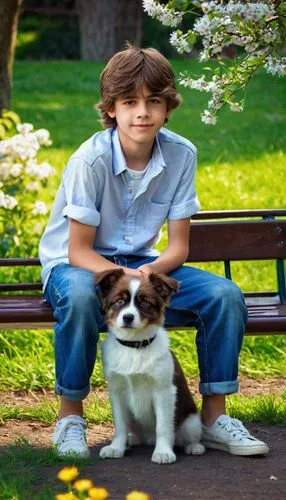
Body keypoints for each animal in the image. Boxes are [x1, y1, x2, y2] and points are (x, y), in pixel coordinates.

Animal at [97, 270, 204, 464]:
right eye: (119, 301)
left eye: (145, 302)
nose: (128, 317)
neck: (134, 345)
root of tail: (148, 439)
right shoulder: (117, 391)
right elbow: (120, 425)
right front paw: (116, 448)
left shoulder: (163, 391)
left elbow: (163, 426)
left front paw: (163, 452)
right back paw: (132, 440)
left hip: (191, 421)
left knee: (188, 436)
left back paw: (194, 447)